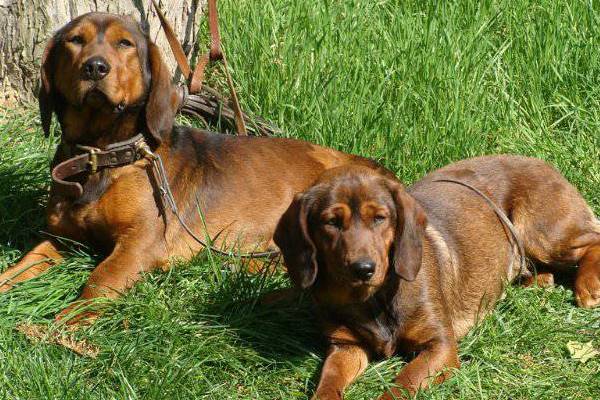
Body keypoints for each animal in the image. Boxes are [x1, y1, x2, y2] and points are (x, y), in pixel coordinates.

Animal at [0, 10, 384, 320]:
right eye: (75, 40)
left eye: (125, 44)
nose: (95, 67)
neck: (103, 155)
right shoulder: (61, 239)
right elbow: (22, 265)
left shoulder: (139, 244)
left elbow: (100, 280)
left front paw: (64, 323)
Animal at [274, 157, 600, 400]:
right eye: (330, 222)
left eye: (380, 218)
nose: (363, 268)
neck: (373, 299)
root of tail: (542, 162)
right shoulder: (345, 347)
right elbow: (328, 381)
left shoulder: (440, 345)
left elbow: (403, 384)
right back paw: (537, 280)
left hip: (543, 234)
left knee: (593, 240)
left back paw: (588, 286)